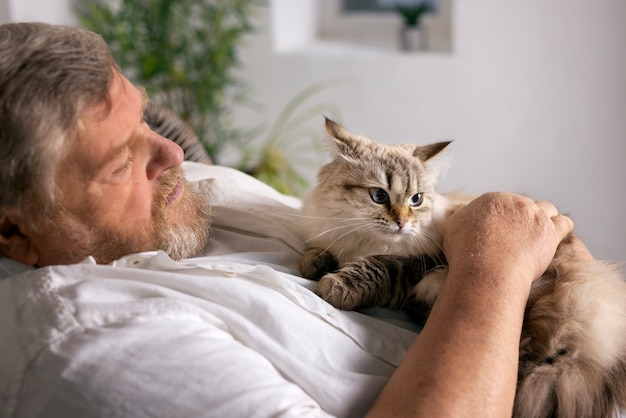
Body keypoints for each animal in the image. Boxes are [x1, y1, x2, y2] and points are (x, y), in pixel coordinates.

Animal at [296, 116, 624, 418]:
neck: (365, 241)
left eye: (416, 200)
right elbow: (323, 250)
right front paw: (312, 263)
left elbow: (377, 267)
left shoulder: (420, 263)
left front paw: (334, 287)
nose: (402, 222)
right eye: (379, 196)